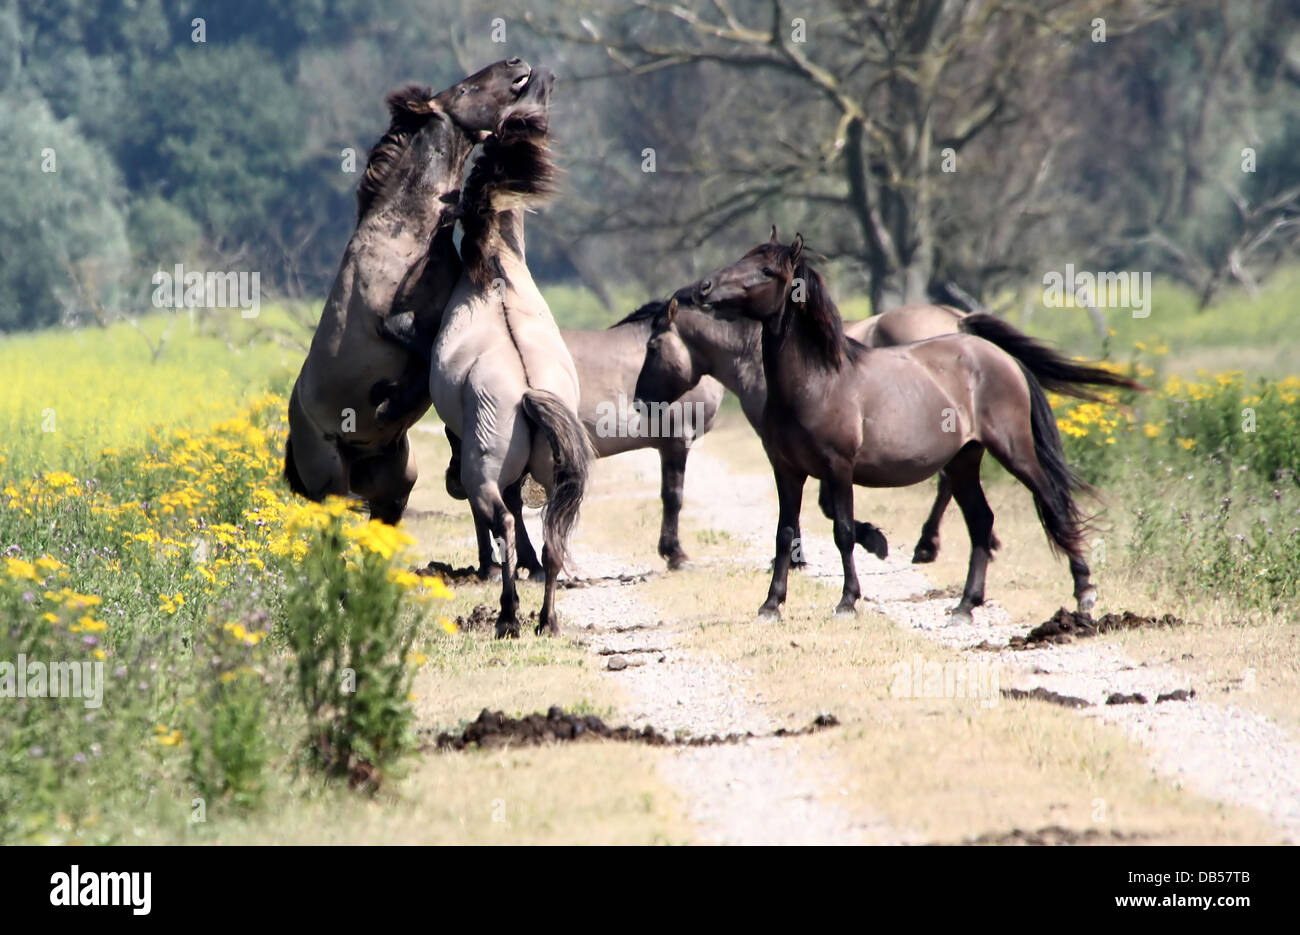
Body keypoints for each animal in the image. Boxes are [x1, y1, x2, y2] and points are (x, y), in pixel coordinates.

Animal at [285, 59, 534, 523]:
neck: (407, 236)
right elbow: (422, 357)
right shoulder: (390, 323)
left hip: (393, 487)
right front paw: (388, 400)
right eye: (465, 89)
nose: (516, 65)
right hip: (331, 483)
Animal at [429, 69, 590, 638]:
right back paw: (546, 620)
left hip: (483, 475)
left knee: (498, 519)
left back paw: (508, 615)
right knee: (552, 534)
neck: (496, 269)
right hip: (557, 477)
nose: (542, 74)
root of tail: (527, 391)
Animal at [672, 233, 1142, 623]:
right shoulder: (787, 471)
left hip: (1015, 451)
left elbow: (843, 531)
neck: (817, 381)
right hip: (964, 461)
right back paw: (964, 607)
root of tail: (994, 354)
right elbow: (784, 534)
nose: (701, 289)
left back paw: (1084, 593)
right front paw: (771, 605)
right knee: (981, 522)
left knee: (1053, 504)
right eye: (743, 258)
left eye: (768, 271)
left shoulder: (838, 469)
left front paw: (848, 600)